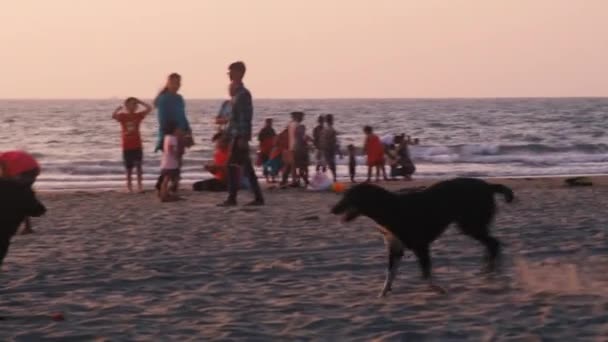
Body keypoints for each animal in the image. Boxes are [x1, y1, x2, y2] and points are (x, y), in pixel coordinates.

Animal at [332, 178, 512, 296]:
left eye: (350, 197)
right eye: (344, 195)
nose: (332, 210)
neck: (389, 208)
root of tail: (488, 185)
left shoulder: (421, 246)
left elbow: (425, 272)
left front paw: (437, 288)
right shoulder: (395, 248)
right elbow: (390, 273)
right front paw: (383, 293)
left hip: (471, 225)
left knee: (494, 243)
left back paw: (490, 268)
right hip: (472, 225)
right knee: (490, 244)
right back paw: (487, 266)